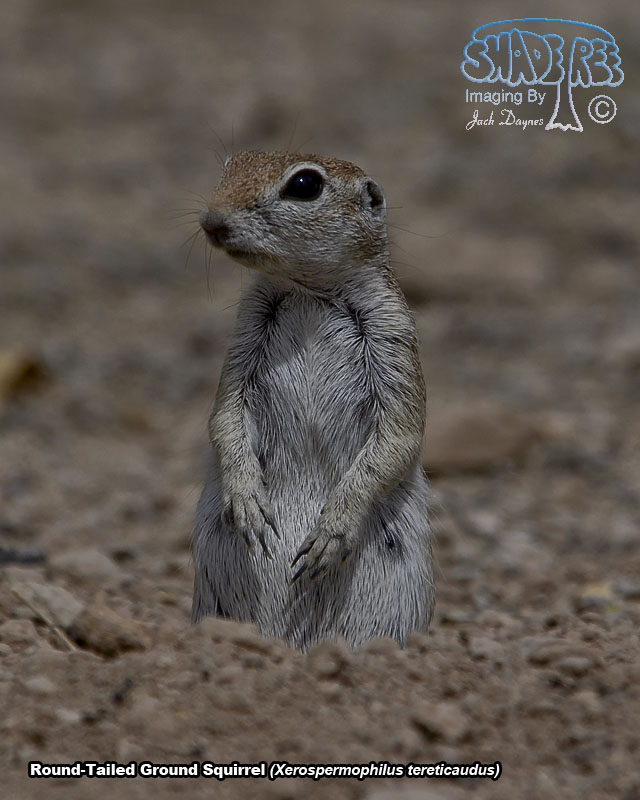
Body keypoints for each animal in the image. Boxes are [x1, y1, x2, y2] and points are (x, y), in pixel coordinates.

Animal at [191, 150, 434, 651]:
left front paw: (331, 532)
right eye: (229, 167)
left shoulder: (394, 336)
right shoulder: (245, 336)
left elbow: (399, 436)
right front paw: (247, 502)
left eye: (305, 185)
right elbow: (224, 416)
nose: (211, 220)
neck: (309, 293)